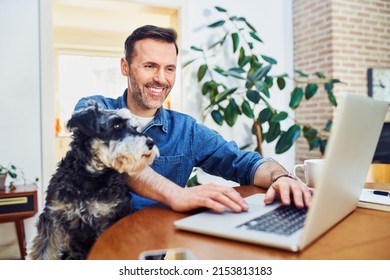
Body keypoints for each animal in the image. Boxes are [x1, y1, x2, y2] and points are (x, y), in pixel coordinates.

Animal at [27, 103, 159, 260]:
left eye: (134, 127)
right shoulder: (53, 216)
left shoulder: (105, 223)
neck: (89, 177)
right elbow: (43, 252)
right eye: (116, 125)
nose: (151, 143)